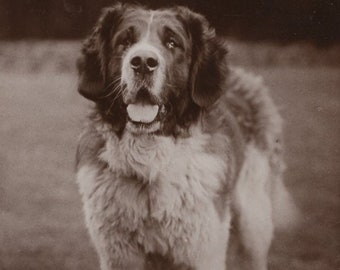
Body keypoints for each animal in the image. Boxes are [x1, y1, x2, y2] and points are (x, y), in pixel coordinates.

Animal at [75, 2, 296, 270]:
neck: (150, 164)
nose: (143, 62)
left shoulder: (203, 250)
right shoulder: (117, 255)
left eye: (172, 43)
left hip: (254, 222)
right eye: (124, 42)